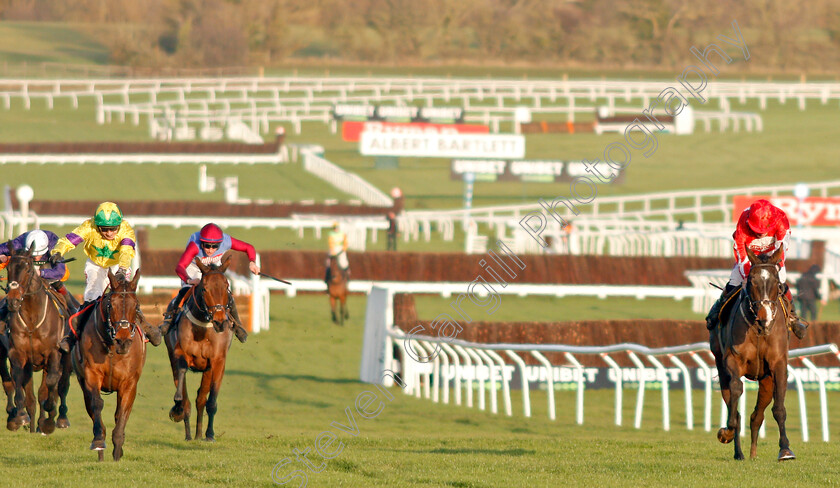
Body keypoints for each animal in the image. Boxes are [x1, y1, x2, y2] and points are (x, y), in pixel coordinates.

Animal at [3, 242, 72, 432]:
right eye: (9, 268)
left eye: (27, 269)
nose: (13, 301)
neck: (32, 320)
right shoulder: (18, 354)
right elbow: (18, 381)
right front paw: (20, 416)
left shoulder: (53, 354)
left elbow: (51, 384)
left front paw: (49, 417)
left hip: (66, 358)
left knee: (62, 385)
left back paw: (59, 418)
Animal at [72, 268, 146, 460]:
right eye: (111, 305)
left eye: (136, 306)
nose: (123, 341)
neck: (112, 347)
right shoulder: (91, 375)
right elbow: (97, 404)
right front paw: (99, 440)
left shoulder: (129, 383)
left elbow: (121, 414)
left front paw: (118, 452)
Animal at [164, 258, 233, 440]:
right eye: (204, 289)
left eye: (226, 287)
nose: (220, 322)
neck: (202, 329)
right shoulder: (180, 353)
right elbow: (182, 387)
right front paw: (178, 408)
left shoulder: (217, 361)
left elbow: (211, 400)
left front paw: (210, 435)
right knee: (187, 398)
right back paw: (189, 434)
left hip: (207, 370)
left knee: (201, 399)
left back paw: (199, 435)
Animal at [708, 248, 796, 462]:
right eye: (752, 281)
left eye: (776, 282)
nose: (765, 317)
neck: (759, 329)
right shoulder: (733, 360)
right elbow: (736, 393)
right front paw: (727, 432)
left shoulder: (778, 365)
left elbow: (779, 409)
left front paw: (785, 449)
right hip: (721, 366)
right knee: (734, 402)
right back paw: (739, 452)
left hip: (766, 380)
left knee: (757, 416)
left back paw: (753, 453)